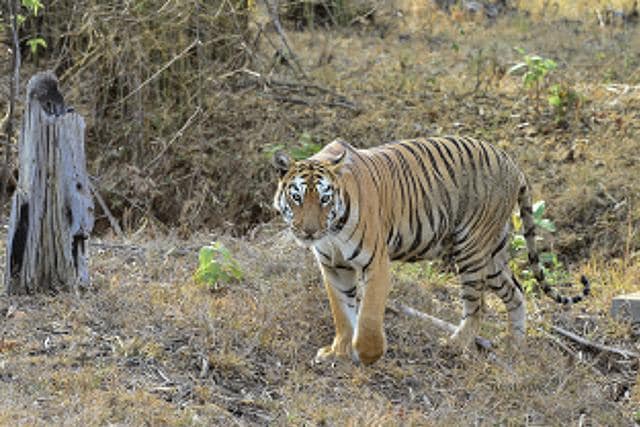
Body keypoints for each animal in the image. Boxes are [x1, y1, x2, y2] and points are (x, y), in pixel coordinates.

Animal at [270, 135, 592, 366]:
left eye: (324, 199)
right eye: (297, 197)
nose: (309, 231)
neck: (332, 233)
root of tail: (513, 163)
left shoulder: (376, 262)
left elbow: (369, 313)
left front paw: (368, 355)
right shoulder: (334, 267)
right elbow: (342, 311)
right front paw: (338, 351)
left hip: (472, 248)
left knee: (478, 305)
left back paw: (454, 345)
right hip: (493, 254)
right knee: (515, 292)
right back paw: (514, 347)